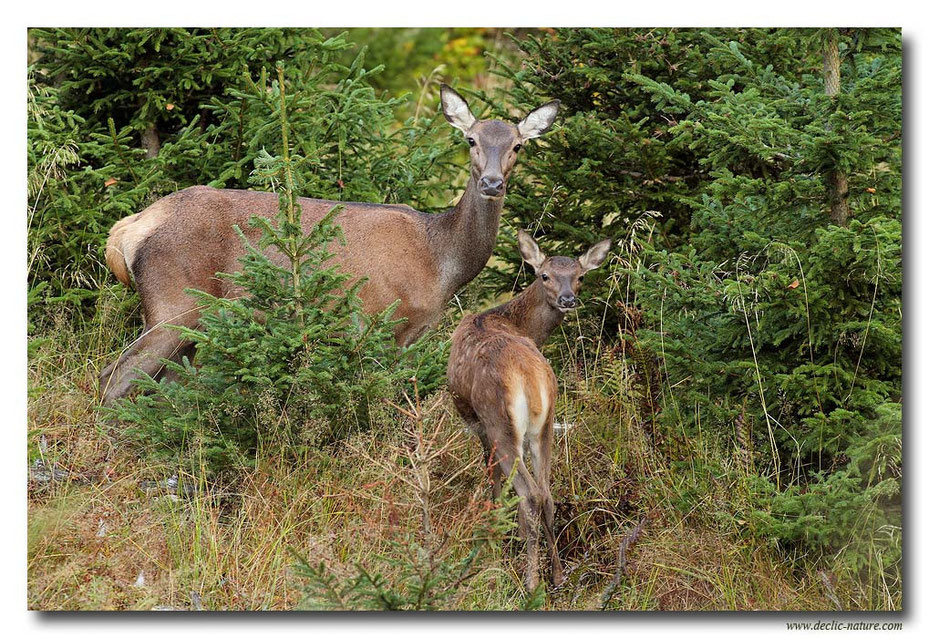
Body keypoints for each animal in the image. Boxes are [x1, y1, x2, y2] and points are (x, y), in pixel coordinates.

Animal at [100, 86, 560, 404]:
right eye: (471, 141)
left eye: (518, 145)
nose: (492, 183)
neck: (441, 261)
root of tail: (128, 229)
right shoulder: (379, 321)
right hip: (173, 304)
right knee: (115, 376)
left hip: (196, 323)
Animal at [448, 229, 612, 592]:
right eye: (545, 275)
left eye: (580, 276)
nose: (567, 298)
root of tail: (528, 376)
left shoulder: (480, 427)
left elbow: (492, 475)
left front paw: (498, 530)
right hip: (546, 424)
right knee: (547, 494)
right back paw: (558, 575)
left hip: (500, 422)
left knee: (531, 494)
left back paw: (532, 580)